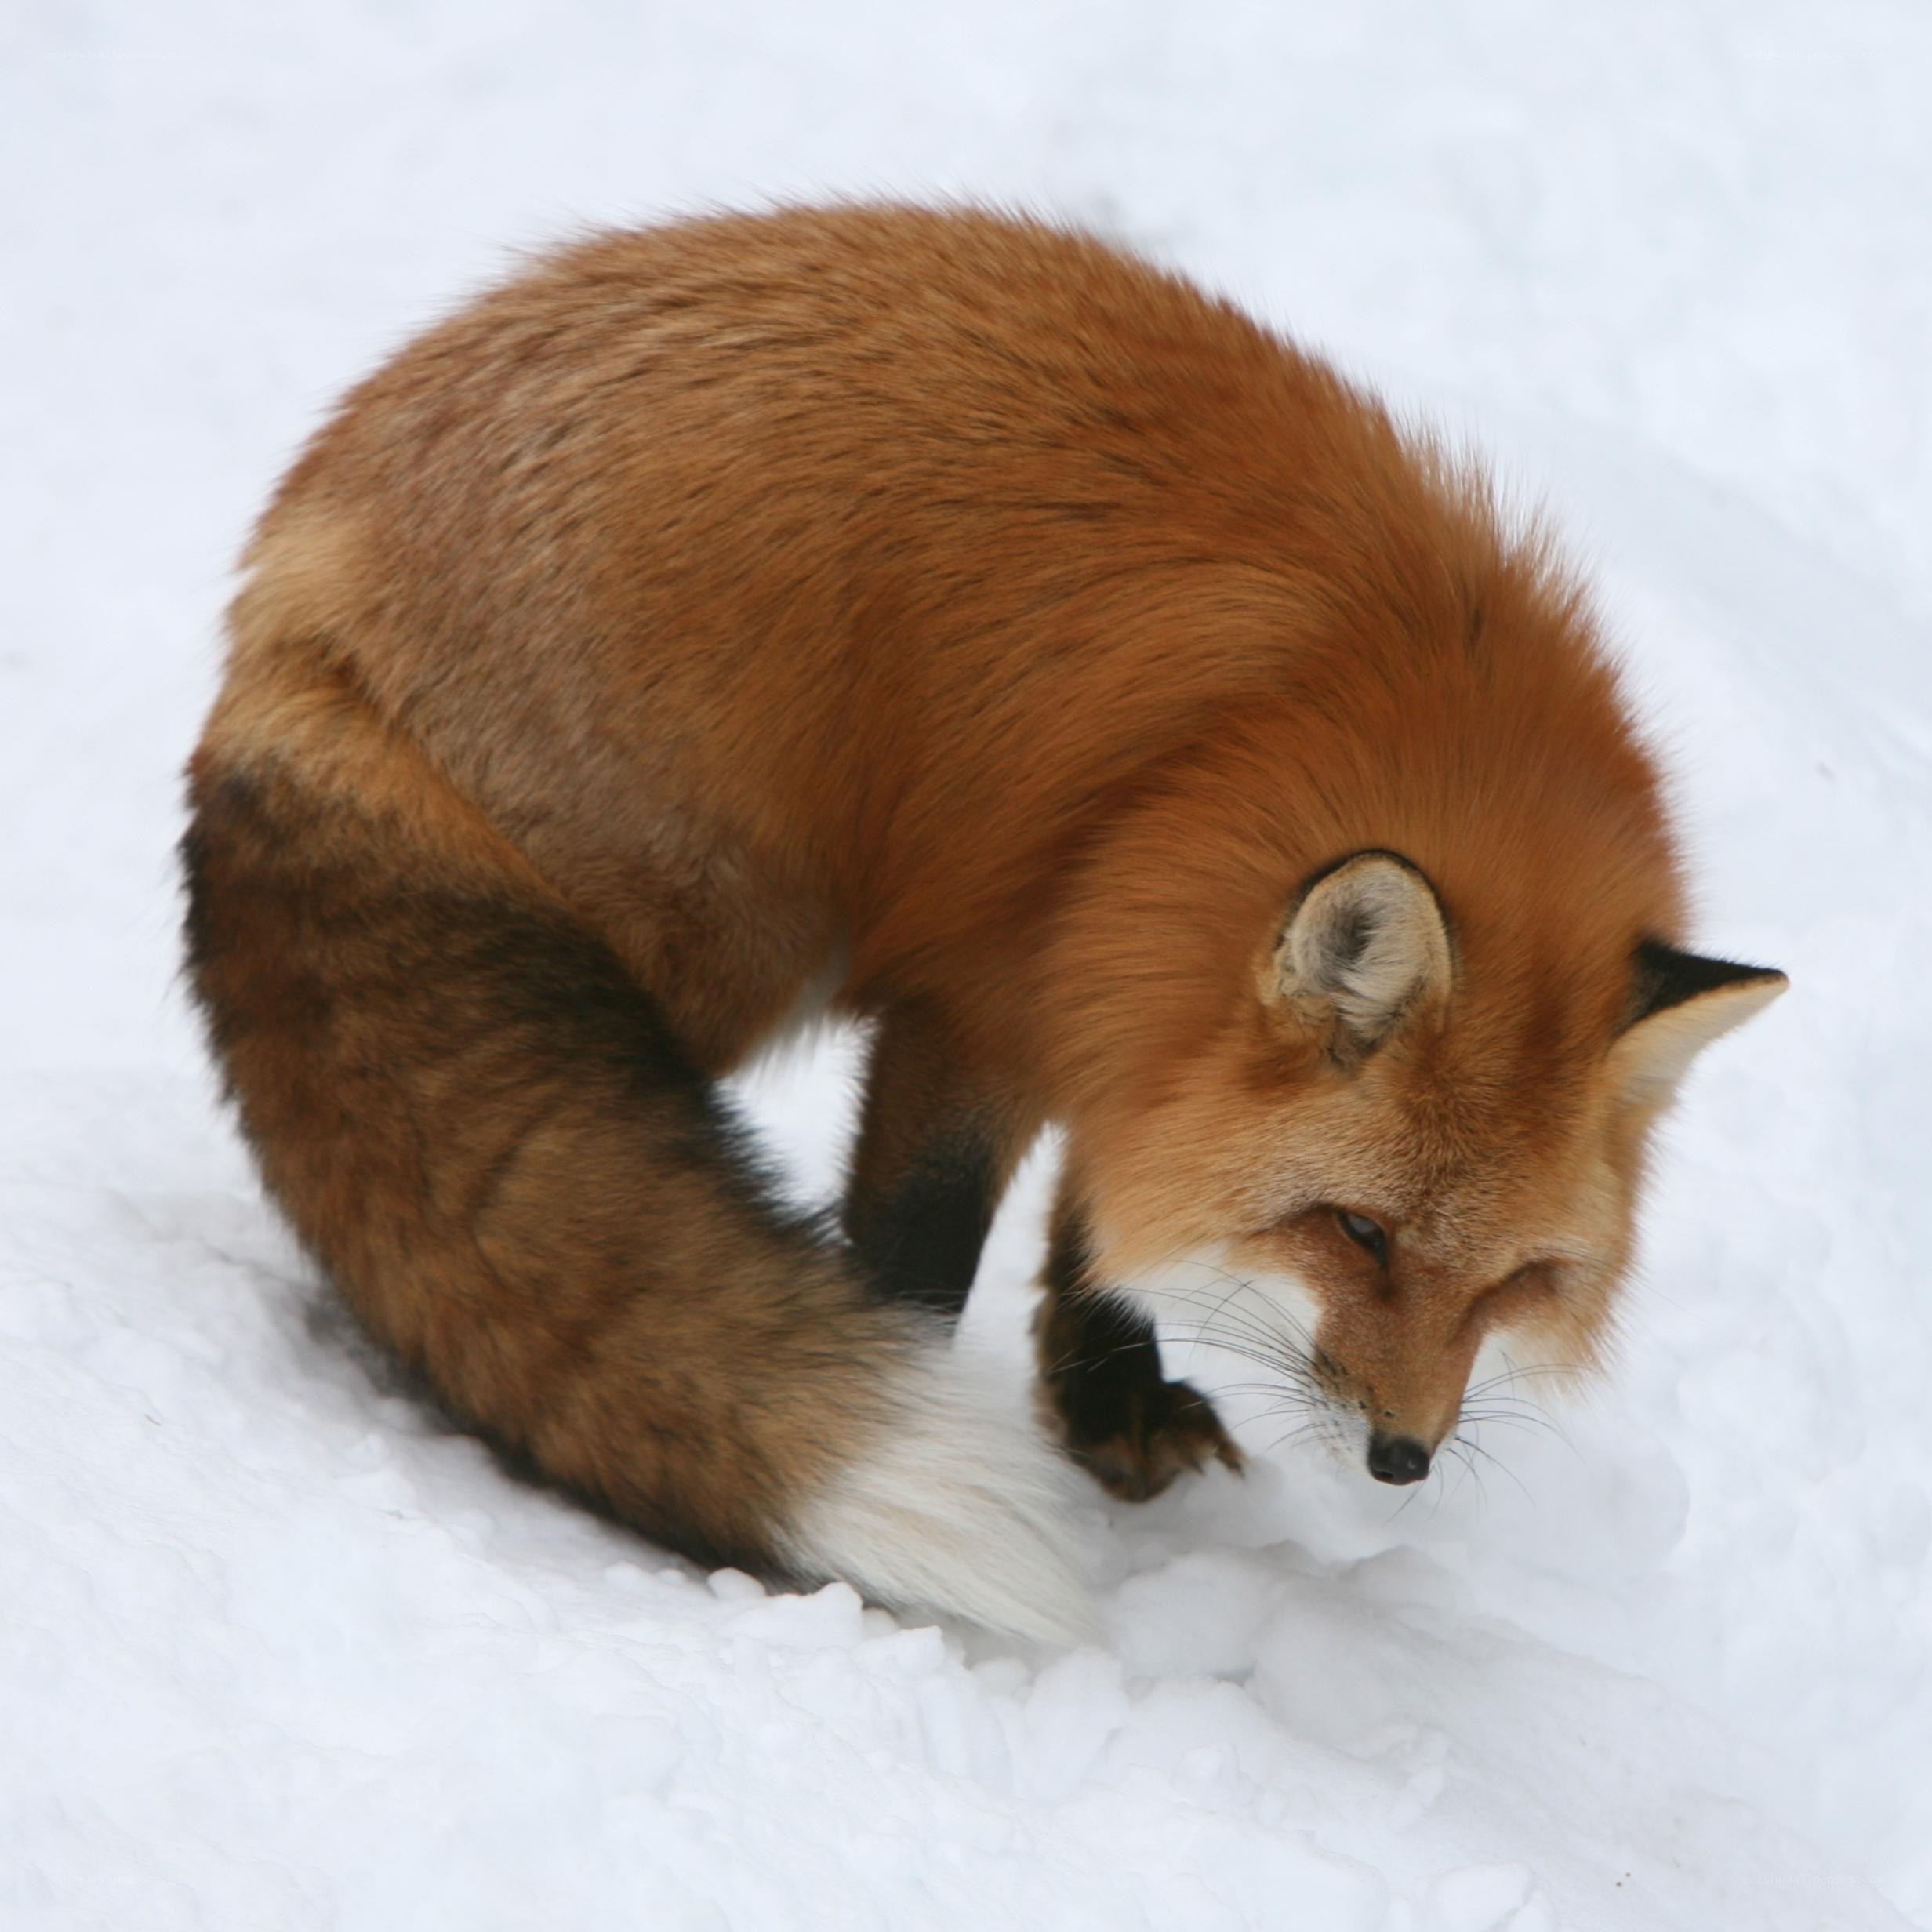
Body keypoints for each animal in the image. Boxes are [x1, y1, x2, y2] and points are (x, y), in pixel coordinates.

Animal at [182, 204, 1785, 1642]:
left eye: (1516, 1280)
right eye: (1357, 1232)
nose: (1403, 1455)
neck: (1252, 740)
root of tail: (302, 577)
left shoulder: (1126, 1003)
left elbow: (1103, 1214)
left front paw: (1107, 1397)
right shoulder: (990, 990)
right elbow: (926, 1248)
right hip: (712, 937)